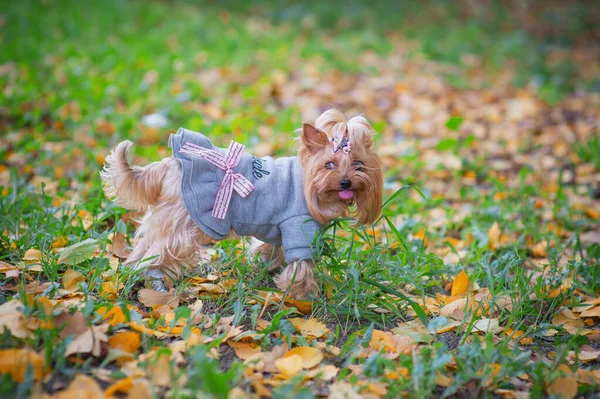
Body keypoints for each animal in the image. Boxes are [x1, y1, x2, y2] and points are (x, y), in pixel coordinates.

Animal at [100, 108, 382, 298]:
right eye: (329, 165)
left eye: (359, 165)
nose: (346, 182)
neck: (311, 185)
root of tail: (172, 163)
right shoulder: (297, 226)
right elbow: (301, 263)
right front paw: (303, 293)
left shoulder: (278, 229)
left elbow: (271, 249)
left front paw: (267, 265)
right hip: (182, 221)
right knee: (161, 250)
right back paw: (157, 278)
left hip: (165, 216)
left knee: (144, 244)